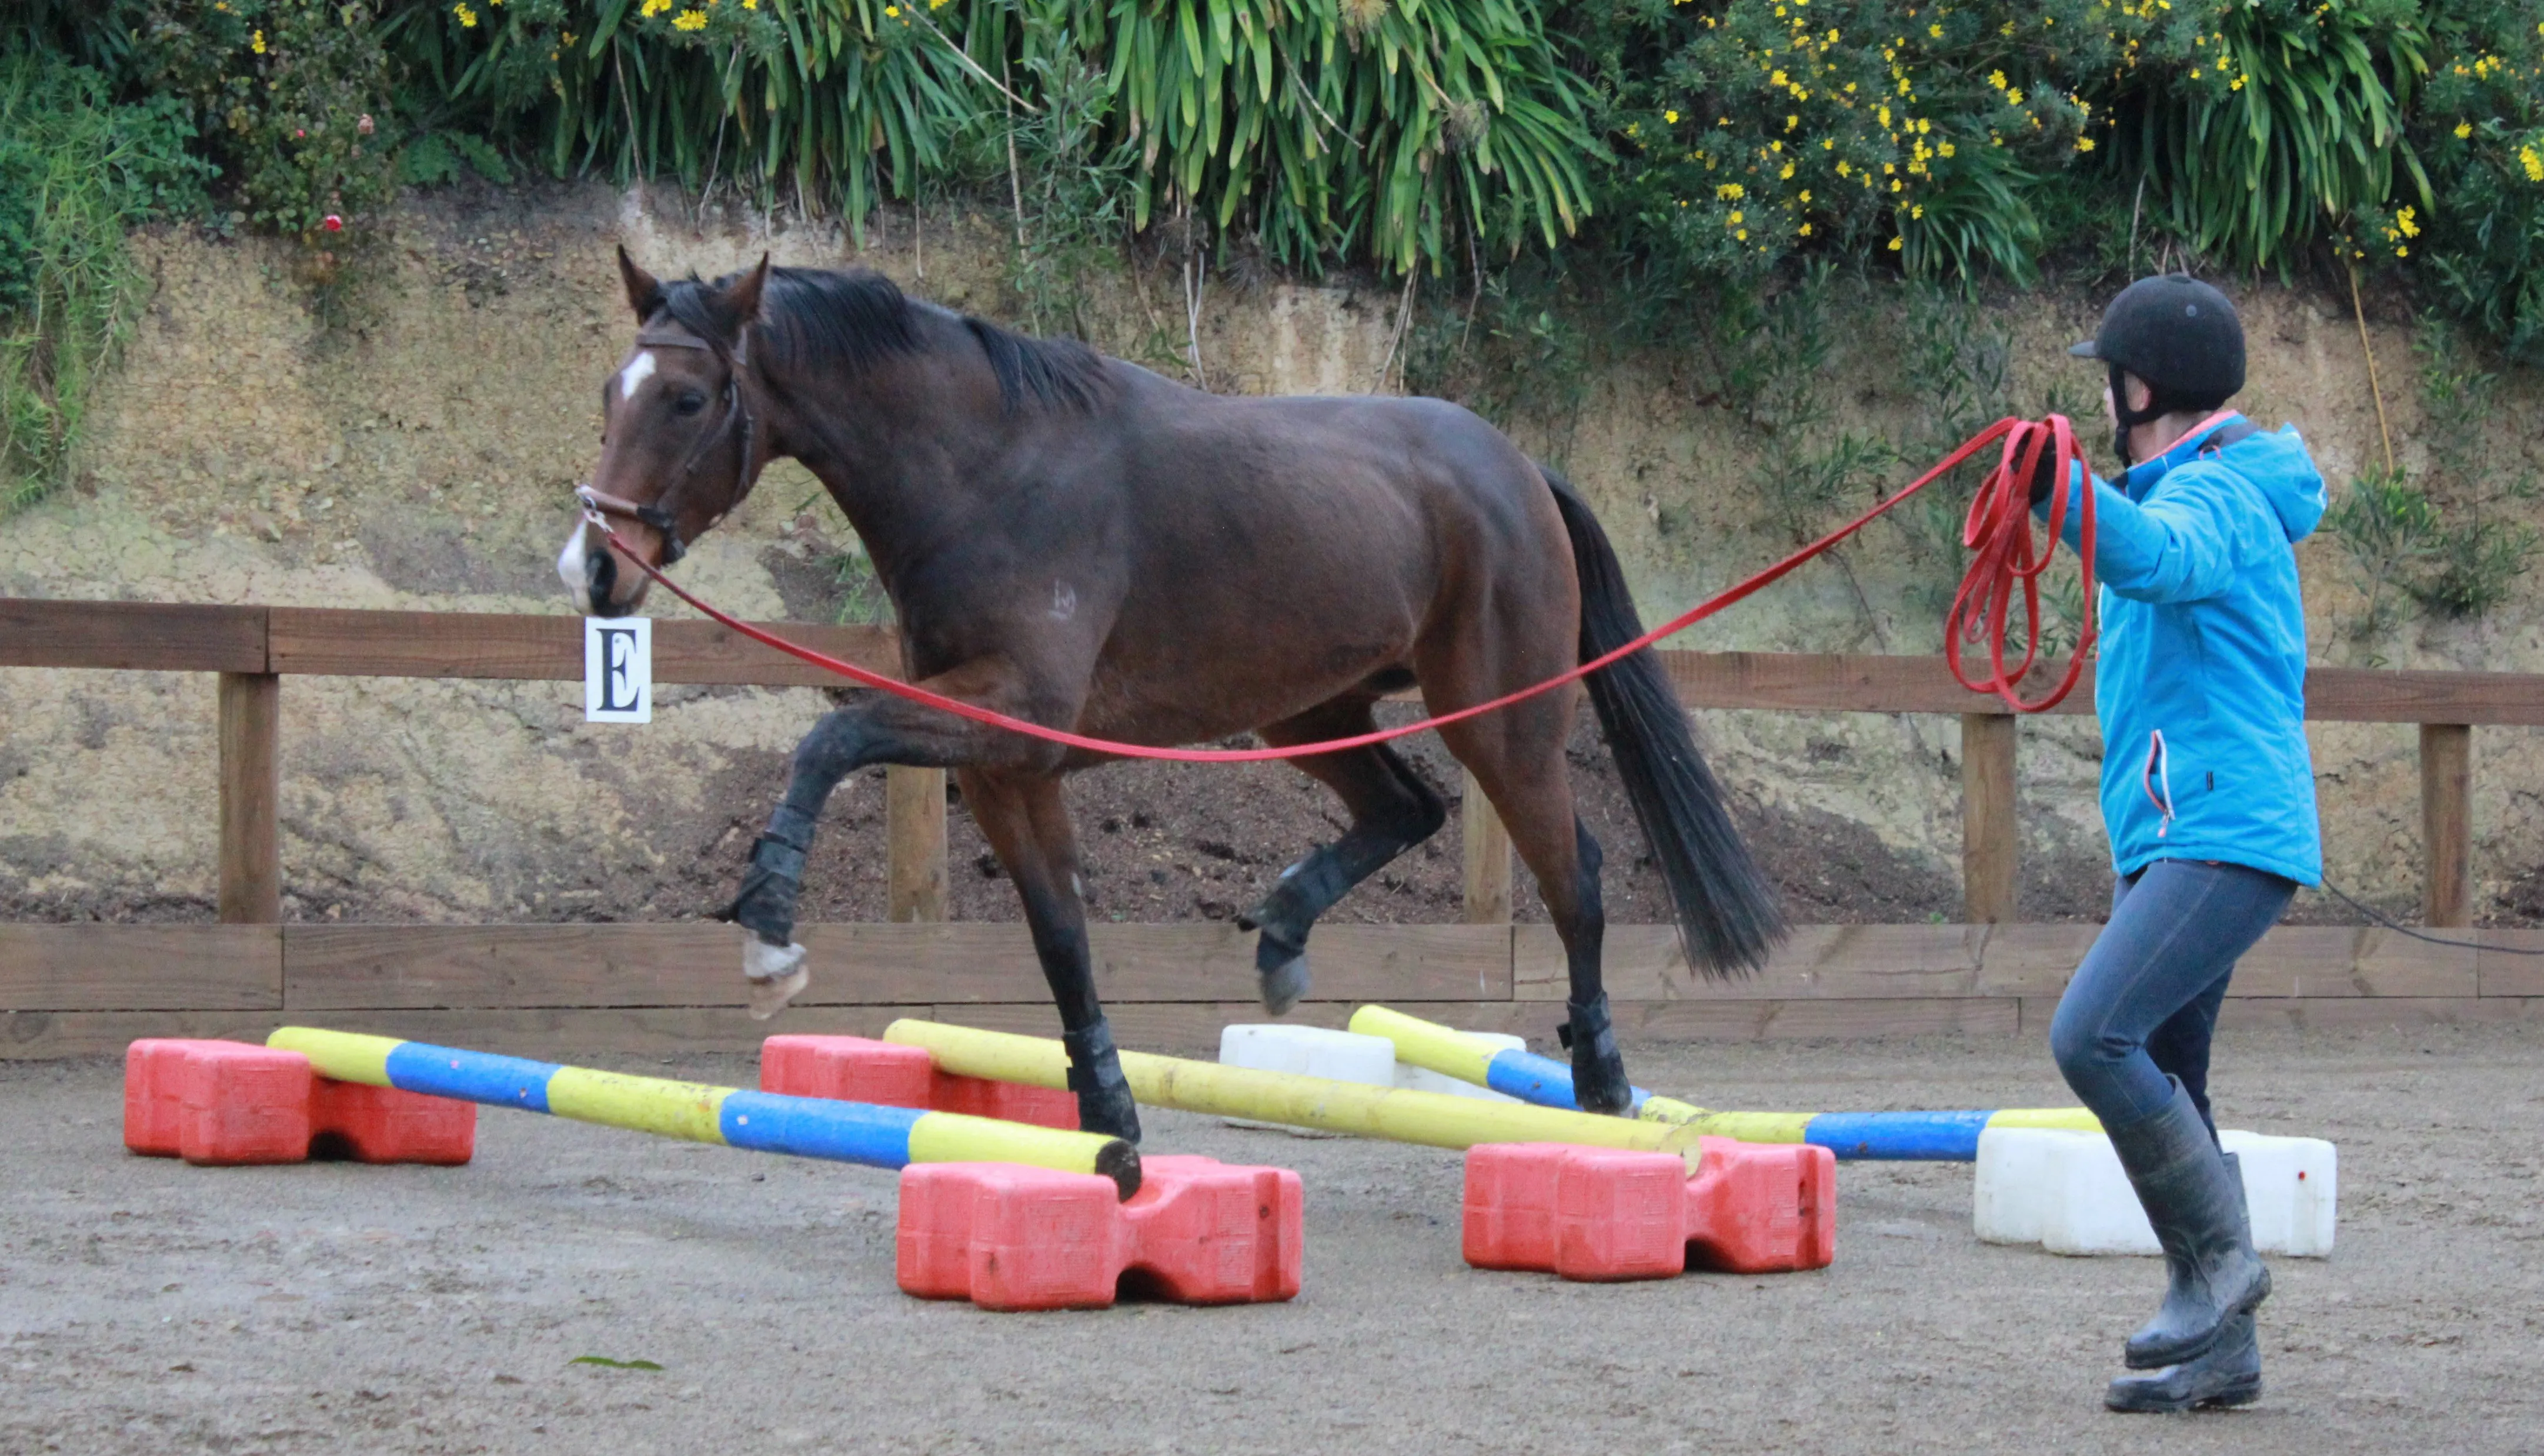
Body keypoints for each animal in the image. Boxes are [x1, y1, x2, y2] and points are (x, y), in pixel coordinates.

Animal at [565, 246, 1781, 1135]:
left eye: (687, 398)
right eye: (610, 395)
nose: (597, 569)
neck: (988, 473)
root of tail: (1520, 468)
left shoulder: (1008, 714)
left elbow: (829, 742)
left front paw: (770, 934)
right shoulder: (1006, 762)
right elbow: (1059, 936)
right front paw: (1108, 1111)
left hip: (1508, 723)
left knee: (1574, 875)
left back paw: (1604, 1084)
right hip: (1310, 708)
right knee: (1409, 810)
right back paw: (1282, 939)